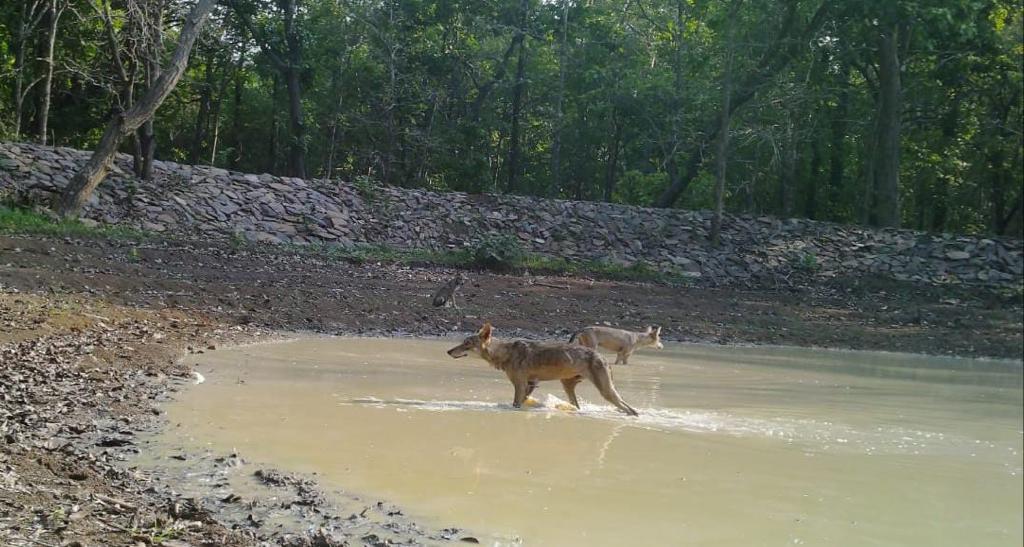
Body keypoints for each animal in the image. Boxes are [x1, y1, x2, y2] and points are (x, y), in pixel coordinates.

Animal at [446, 323, 634, 417]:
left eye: (466, 344)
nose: (448, 351)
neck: (505, 352)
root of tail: (603, 358)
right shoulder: (530, 385)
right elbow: (521, 402)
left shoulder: (520, 385)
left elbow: (515, 404)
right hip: (568, 386)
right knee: (578, 406)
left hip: (606, 392)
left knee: (630, 409)